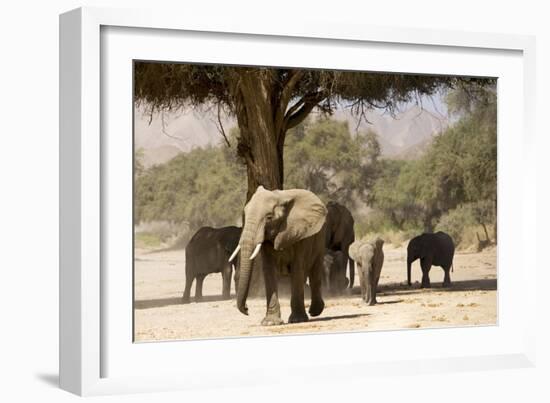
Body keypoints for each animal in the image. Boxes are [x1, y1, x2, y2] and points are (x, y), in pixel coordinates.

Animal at [229, 186, 328, 326]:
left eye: (269, 218)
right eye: (245, 214)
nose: (247, 309)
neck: (280, 197)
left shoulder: (299, 233)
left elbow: (298, 268)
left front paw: (297, 320)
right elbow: (268, 270)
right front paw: (270, 322)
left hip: (320, 237)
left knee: (314, 271)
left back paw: (315, 312)